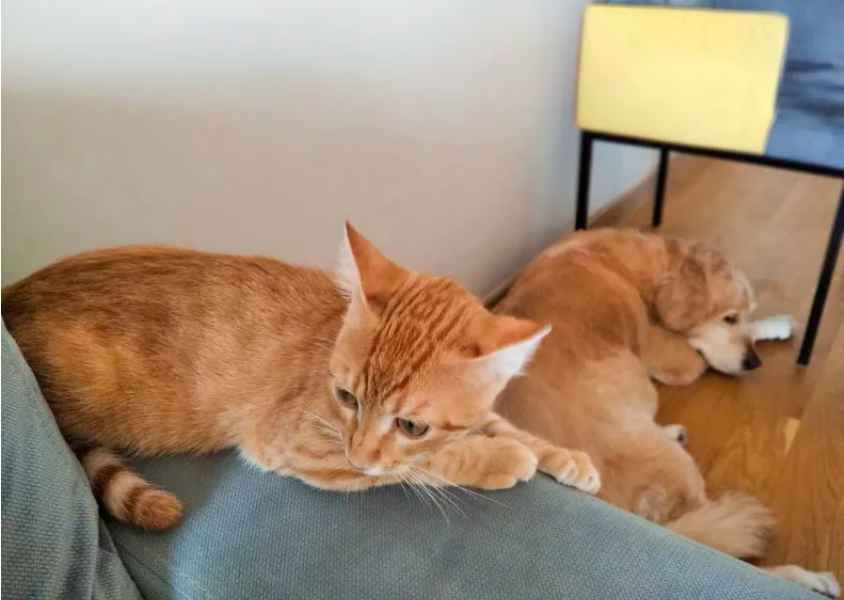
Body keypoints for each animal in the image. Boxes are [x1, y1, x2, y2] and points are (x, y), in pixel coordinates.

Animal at [3, 224, 604, 528]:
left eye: (411, 424)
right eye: (346, 397)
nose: (358, 451)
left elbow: (496, 423)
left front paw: (561, 455)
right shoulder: (297, 446)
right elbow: (415, 466)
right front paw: (501, 458)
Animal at [494, 229, 836, 596]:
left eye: (741, 315)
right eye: (729, 318)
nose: (754, 363)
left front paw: (774, 324)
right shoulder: (677, 360)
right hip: (677, 471)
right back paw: (811, 579)